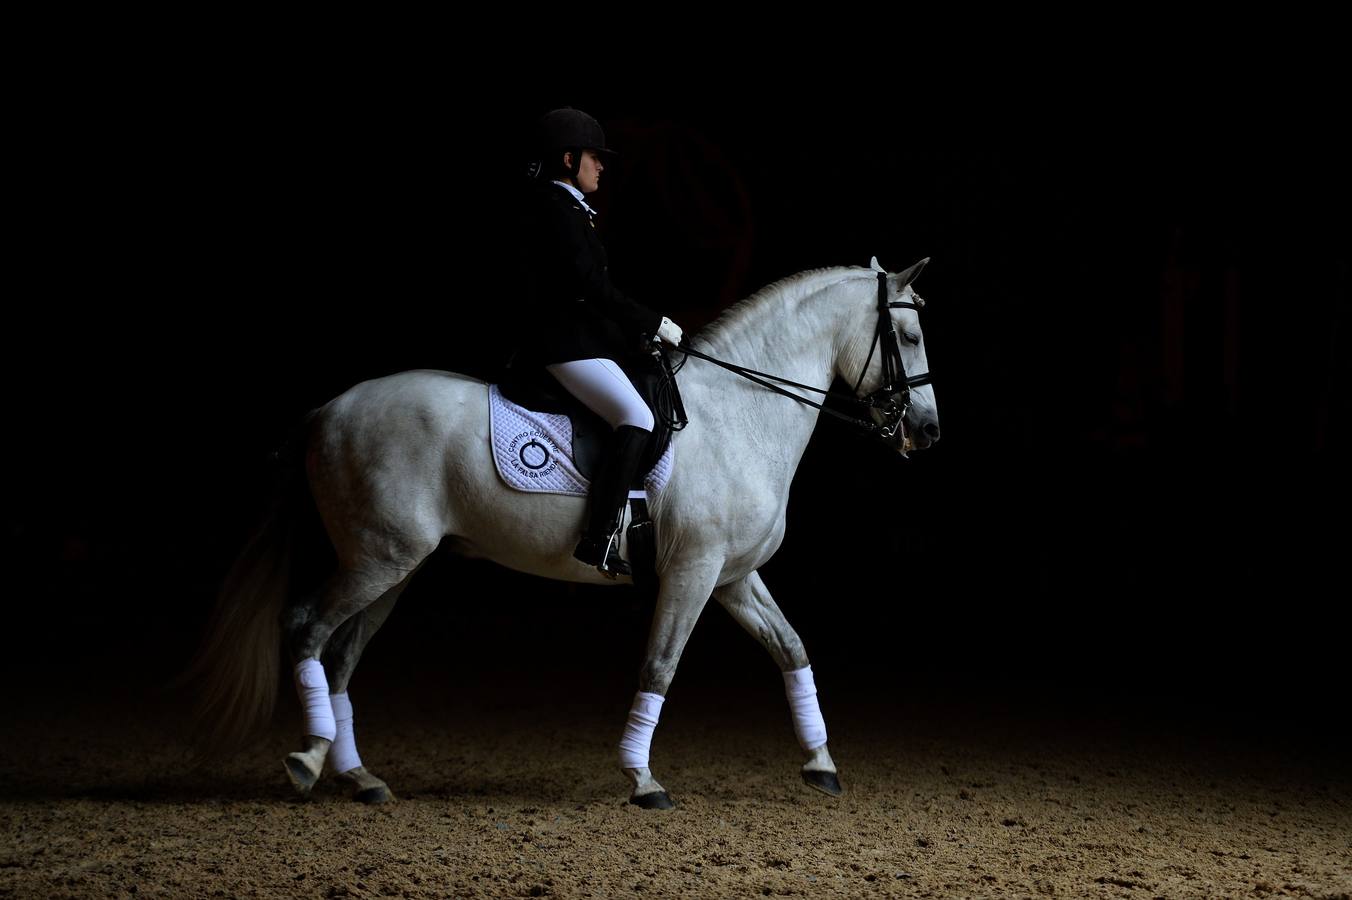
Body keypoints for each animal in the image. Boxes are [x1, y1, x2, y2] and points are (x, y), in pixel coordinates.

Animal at [187, 254, 940, 805]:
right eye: (907, 337)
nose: (928, 431)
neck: (742, 412)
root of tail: (327, 410)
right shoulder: (693, 572)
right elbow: (660, 664)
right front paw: (642, 779)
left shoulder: (732, 576)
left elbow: (791, 649)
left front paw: (821, 764)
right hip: (376, 559)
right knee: (306, 629)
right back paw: (308, 760)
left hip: (395, 566)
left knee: (341, 655)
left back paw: (360, 778)